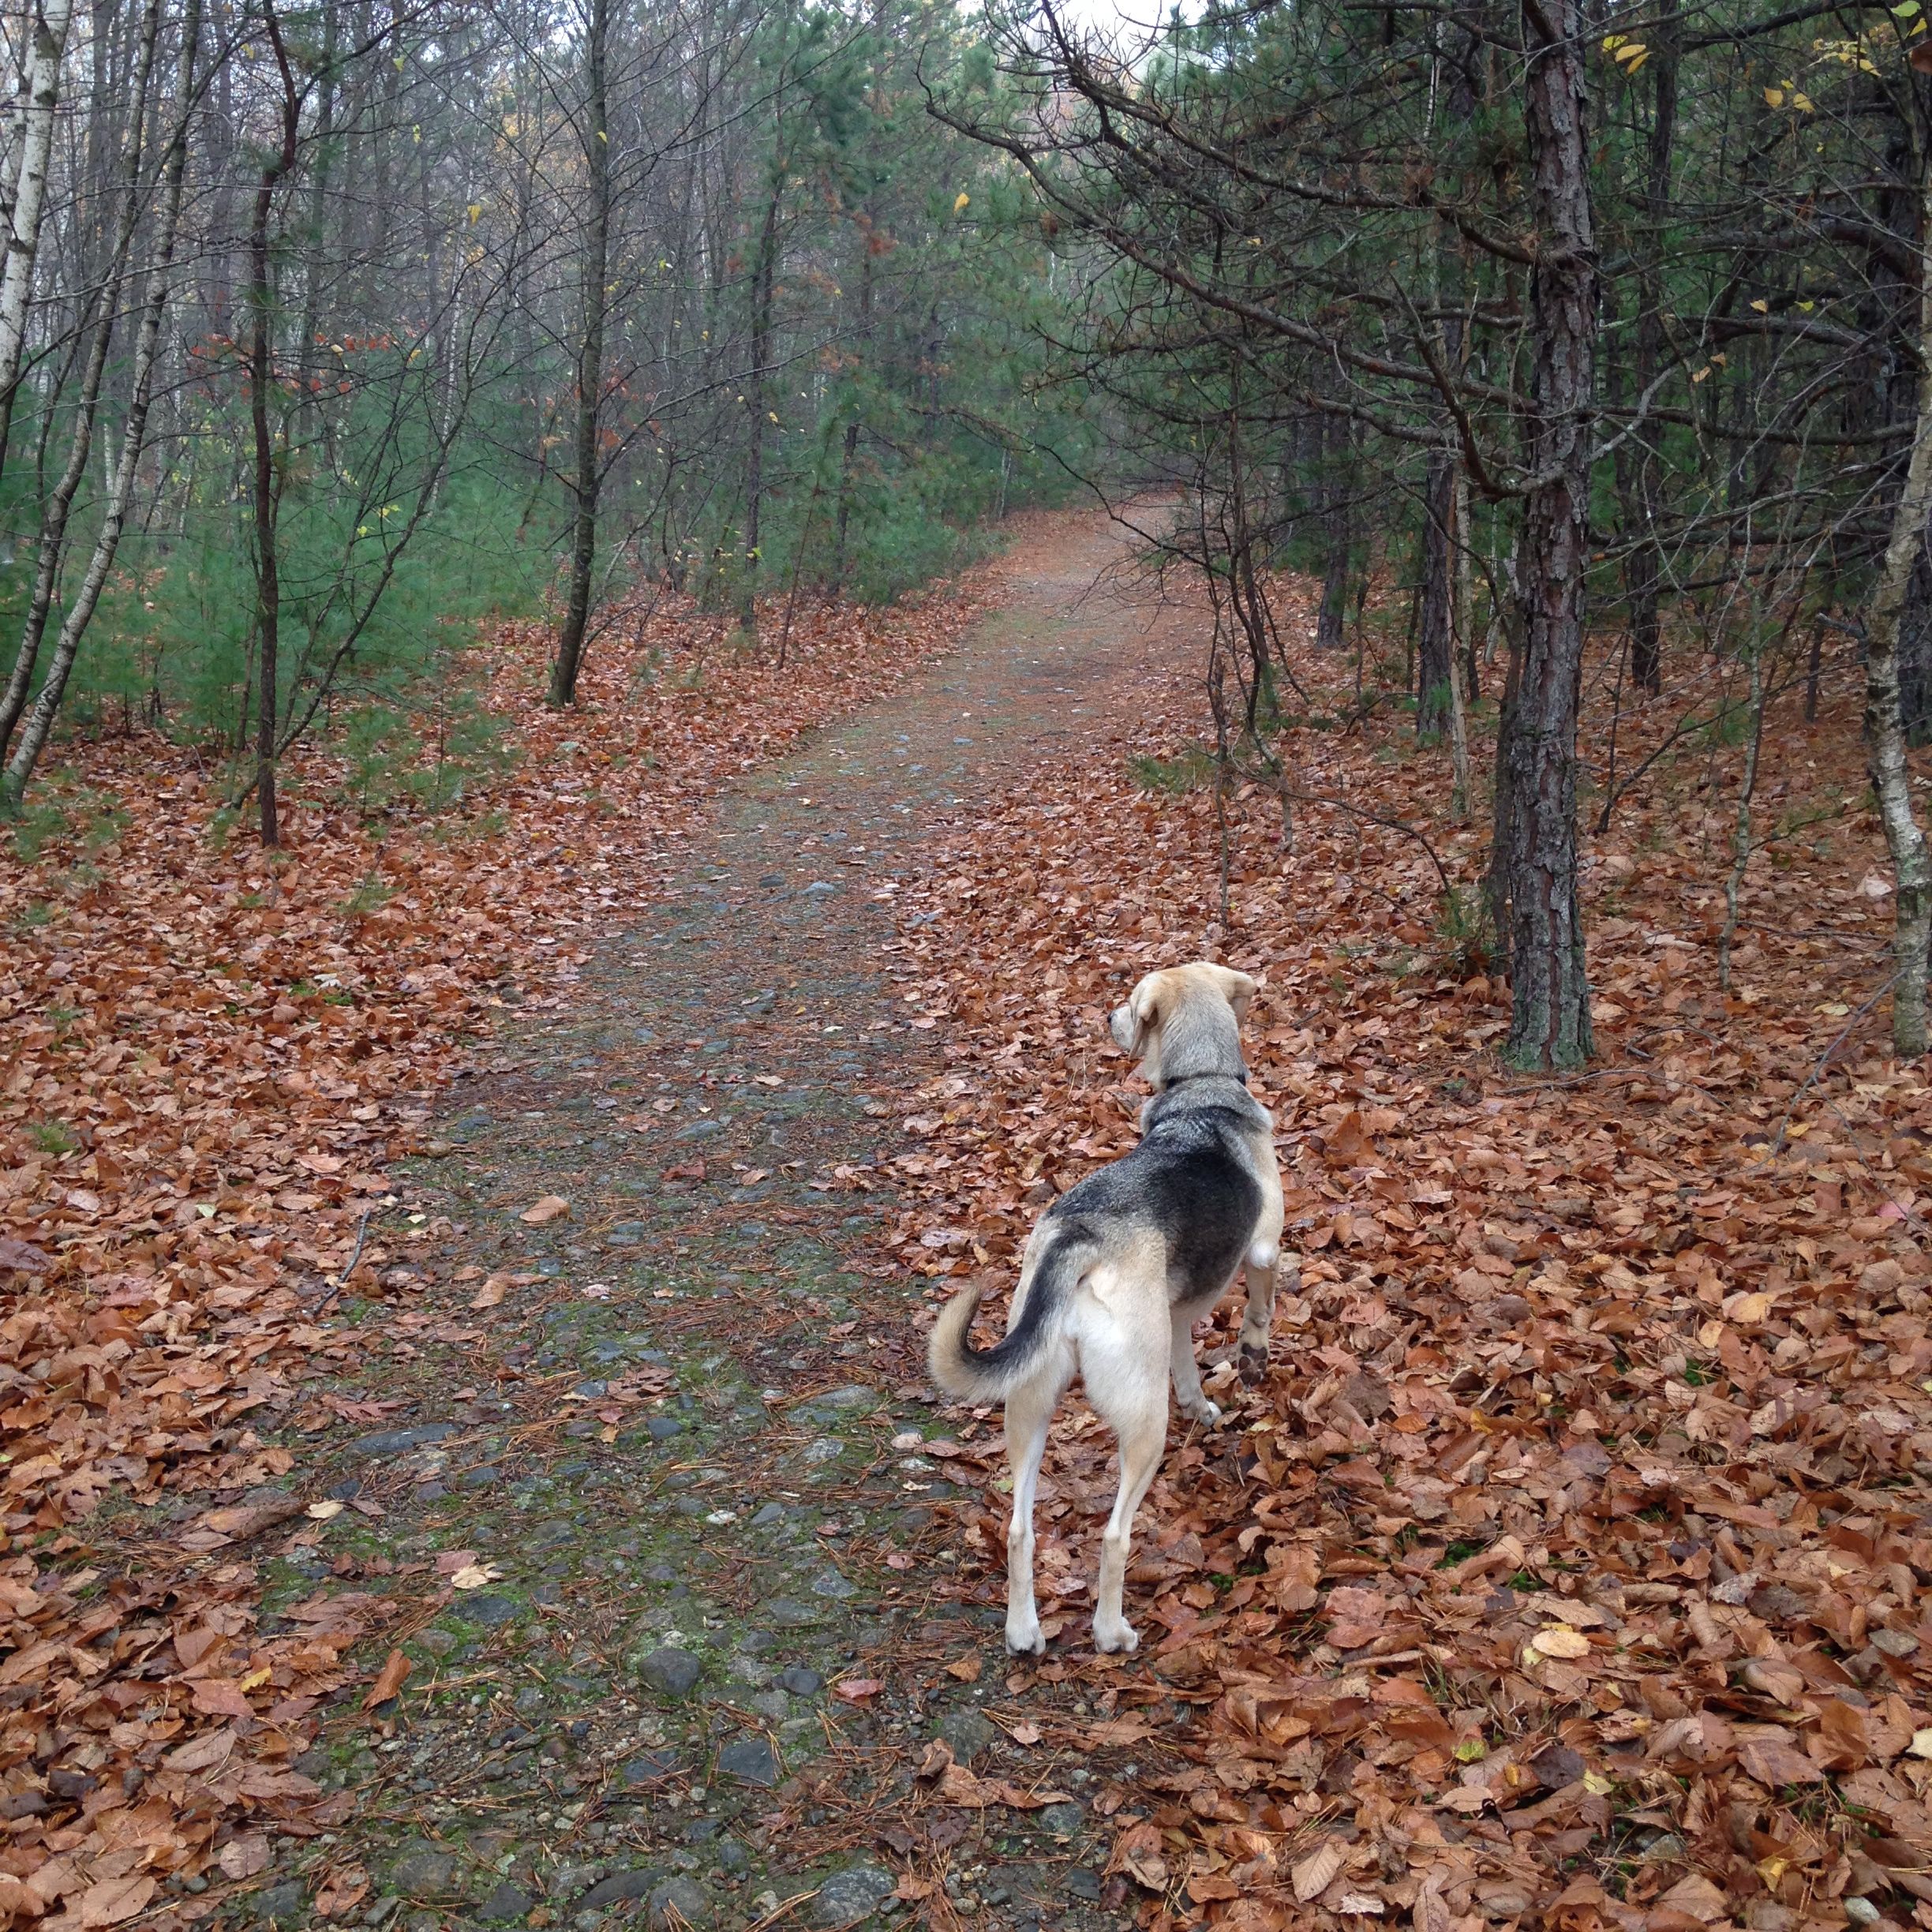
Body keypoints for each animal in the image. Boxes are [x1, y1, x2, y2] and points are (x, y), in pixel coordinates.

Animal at [926, 961, 1286, 1655]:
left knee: (1019, 1528)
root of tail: (1081, 1238)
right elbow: (1259, 1309)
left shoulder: (1175, 1317)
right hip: (1141, 1423)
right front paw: (1253, 1358)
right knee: (1115, 1536)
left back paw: (1024, 1631)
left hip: (1029, 1404)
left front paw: (1202, 1405)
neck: (1201, 1090)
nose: (1107, 1017)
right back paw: (1111, 1631)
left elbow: (1187, 1365)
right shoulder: (1263, 1250)